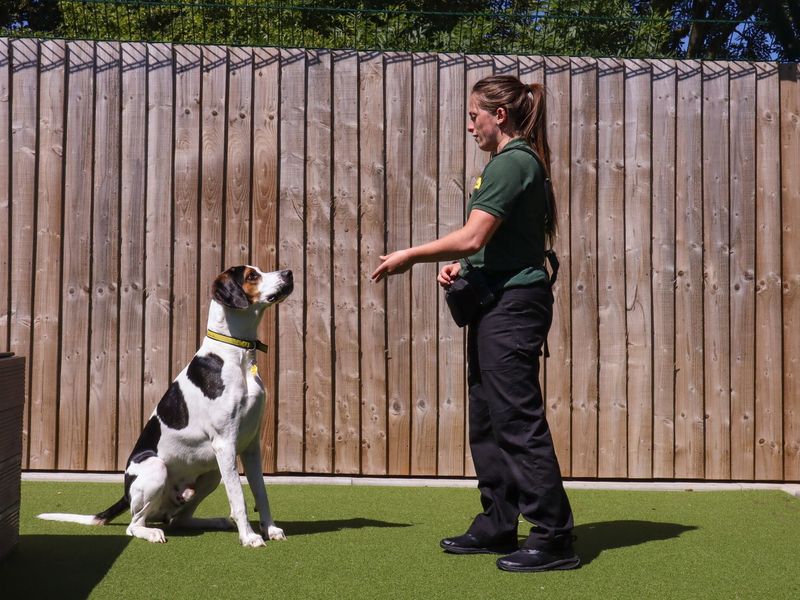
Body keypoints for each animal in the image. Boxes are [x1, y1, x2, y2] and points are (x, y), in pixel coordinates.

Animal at [38, 264, 294, 548]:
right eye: (252, 276)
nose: (289, 273)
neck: (237, 356)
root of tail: (126, 494)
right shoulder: (225, 443)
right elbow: (239, 498)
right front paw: (249, 537)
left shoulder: (250, 447)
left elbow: (261, 493)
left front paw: (270, 529)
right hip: (158, 468)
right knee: (135, 525)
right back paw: (152, 533)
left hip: (212, 474)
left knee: (178, 519)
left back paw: (214, 521)